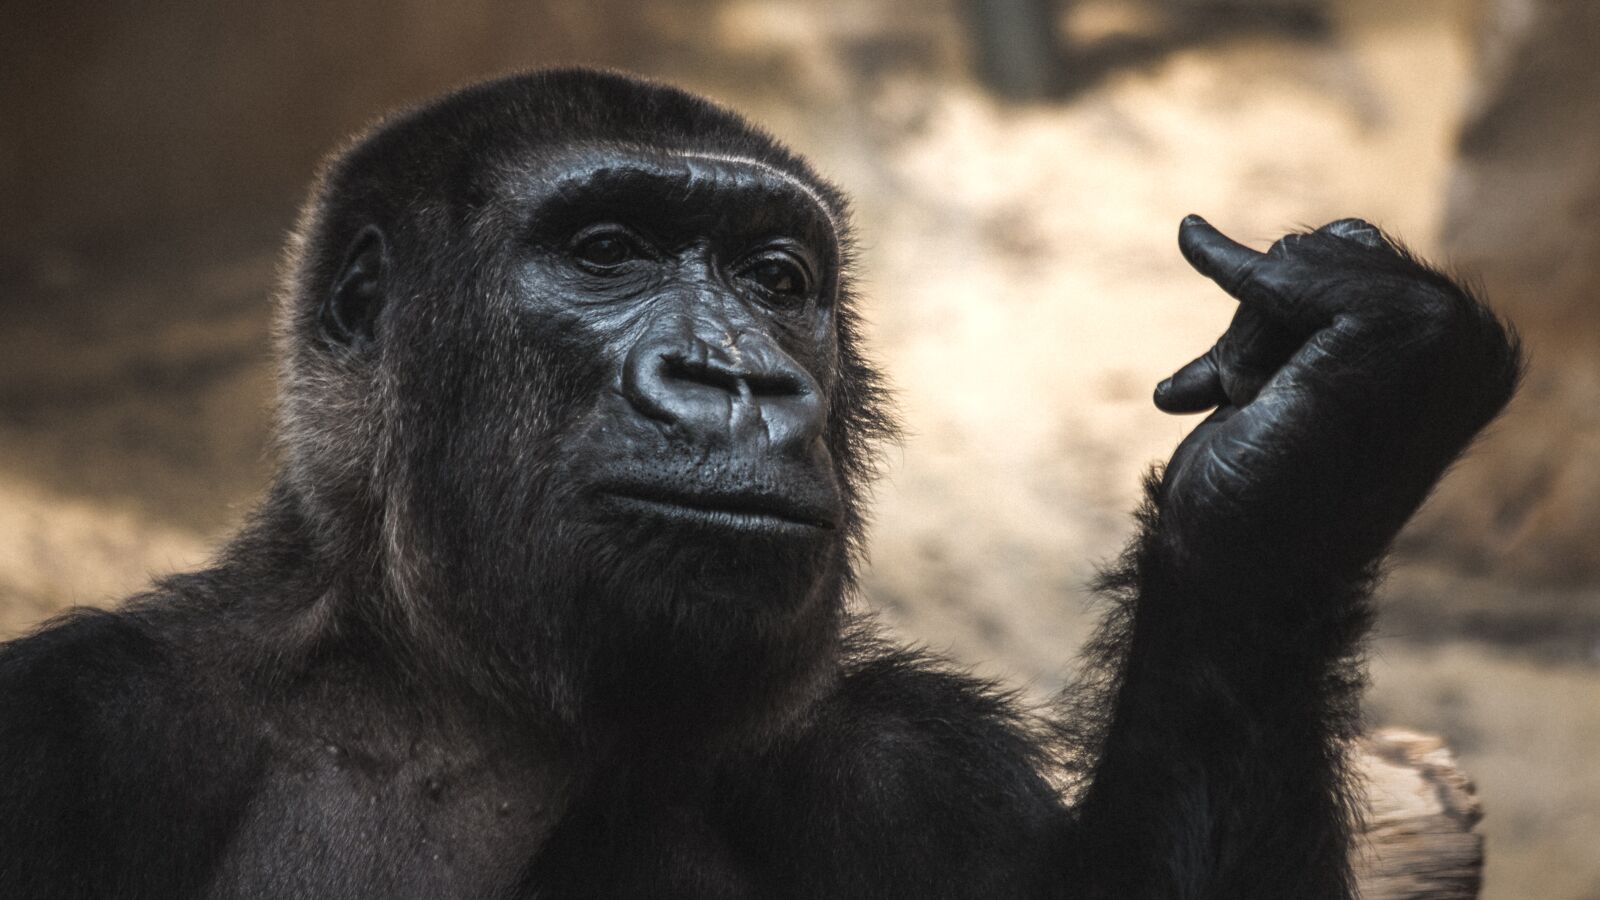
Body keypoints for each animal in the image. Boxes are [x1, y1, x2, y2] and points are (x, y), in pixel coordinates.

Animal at [0, 69, 1520, 899]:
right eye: (606, 250)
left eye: (776, 281)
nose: (739, 377)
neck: (455, 689)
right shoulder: (73, 734)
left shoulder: (919, 772)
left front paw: (1318, 445)